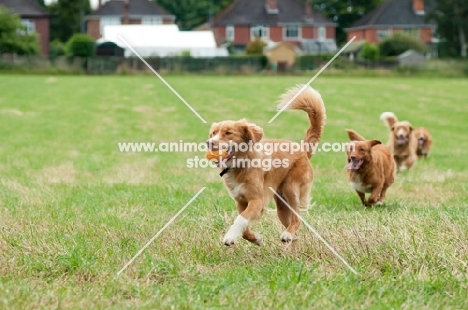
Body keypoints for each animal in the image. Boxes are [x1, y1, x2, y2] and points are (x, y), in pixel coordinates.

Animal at [207, 84, 328, 245]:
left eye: (228, 133)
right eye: (213, 133)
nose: (209, 142)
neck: (241, 164)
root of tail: (303, 149)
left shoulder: (257, 200)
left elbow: (240, 219)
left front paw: (231, 236)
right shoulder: (240, 201)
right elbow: (244, 227)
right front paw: (256, 239)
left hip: (291, 187)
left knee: (297, 217)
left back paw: (287, 234)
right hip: (282, 206)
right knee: (294, 229)